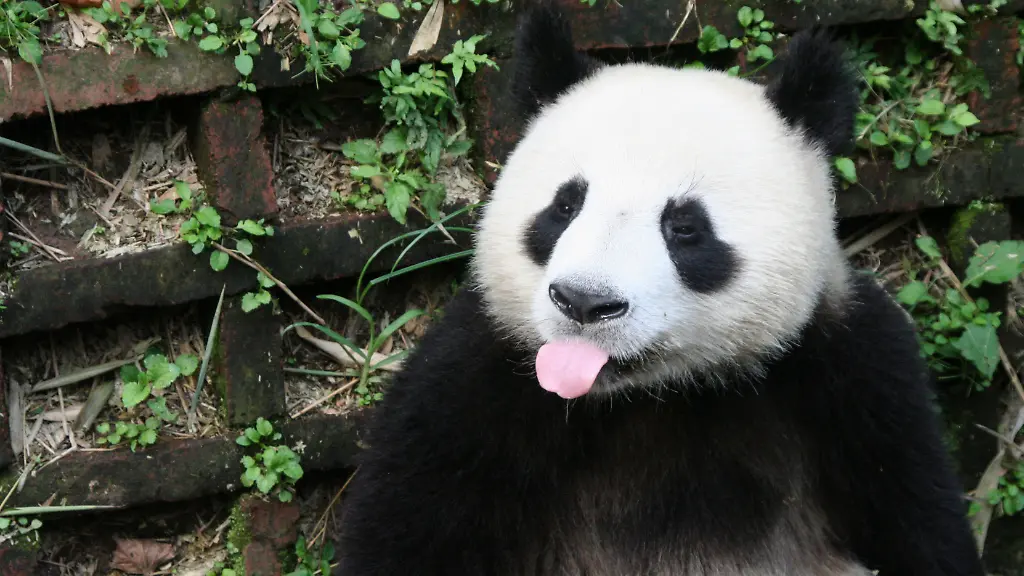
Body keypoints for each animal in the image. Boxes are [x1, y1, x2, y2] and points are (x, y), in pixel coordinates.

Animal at [335, 2, 985, 575]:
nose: (584, 303)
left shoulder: (854, 384)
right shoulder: (473, 390)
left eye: (685, 227)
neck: (651, 398)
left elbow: (921, 528)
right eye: (565, 205)